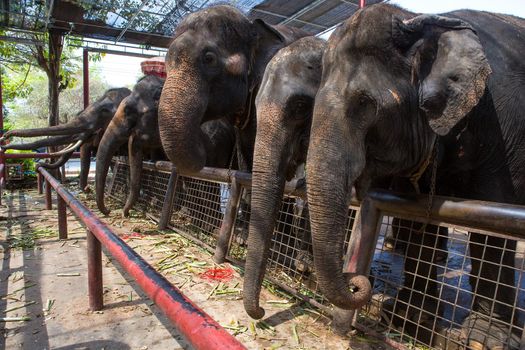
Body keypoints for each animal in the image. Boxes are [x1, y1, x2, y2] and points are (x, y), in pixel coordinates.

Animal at [304, 4, 520, 348]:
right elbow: (415, 212)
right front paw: (409, 318)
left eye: (365, 103)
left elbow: (494, 212)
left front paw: (484, 340)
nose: (357, 281)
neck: (419, 20)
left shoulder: (500, 123)